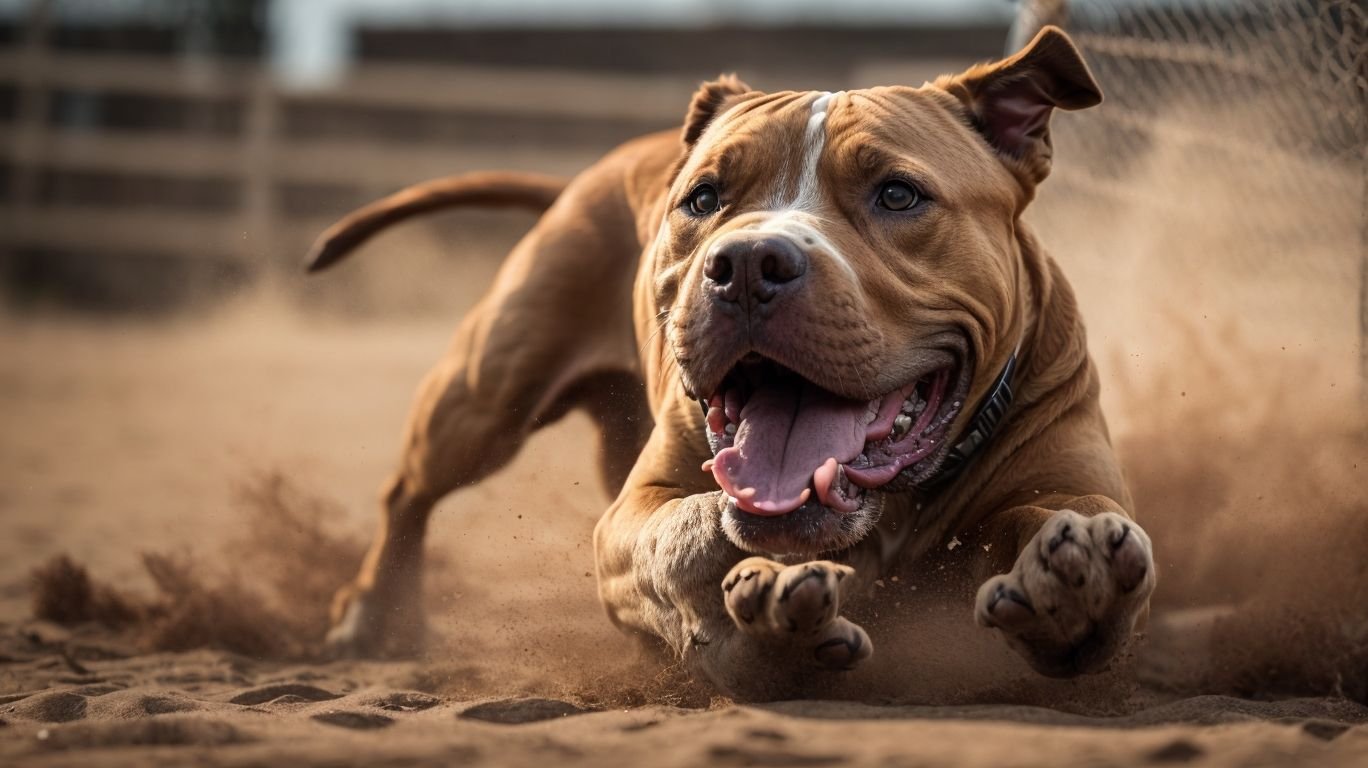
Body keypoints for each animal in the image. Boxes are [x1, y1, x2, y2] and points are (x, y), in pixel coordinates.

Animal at [310, 29, 1154, 698]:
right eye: (703, 198)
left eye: (899, 194)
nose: (747, 263)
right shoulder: (633, 511)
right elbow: (679, 536)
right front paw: (768, 633)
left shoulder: (1068, 477)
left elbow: (1061, 515)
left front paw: (1077, 584)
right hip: (487, 396)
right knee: (409, 493)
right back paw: (369, 617)